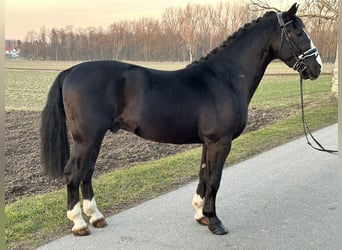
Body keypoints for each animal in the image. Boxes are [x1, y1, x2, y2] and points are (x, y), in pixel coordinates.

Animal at [40, 4, 320, 236]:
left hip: (95, 138)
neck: (225, 78)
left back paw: (96, 217)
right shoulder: (220, 142)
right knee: (73, 173)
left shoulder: (209, 142)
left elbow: (204, 175)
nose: (316, 67)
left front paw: (200, 215)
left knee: (86, 172)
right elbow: (215, 179)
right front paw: (214, 221)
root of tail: (71, 71)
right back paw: (78, 223)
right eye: (297, 33)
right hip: (86, 138)